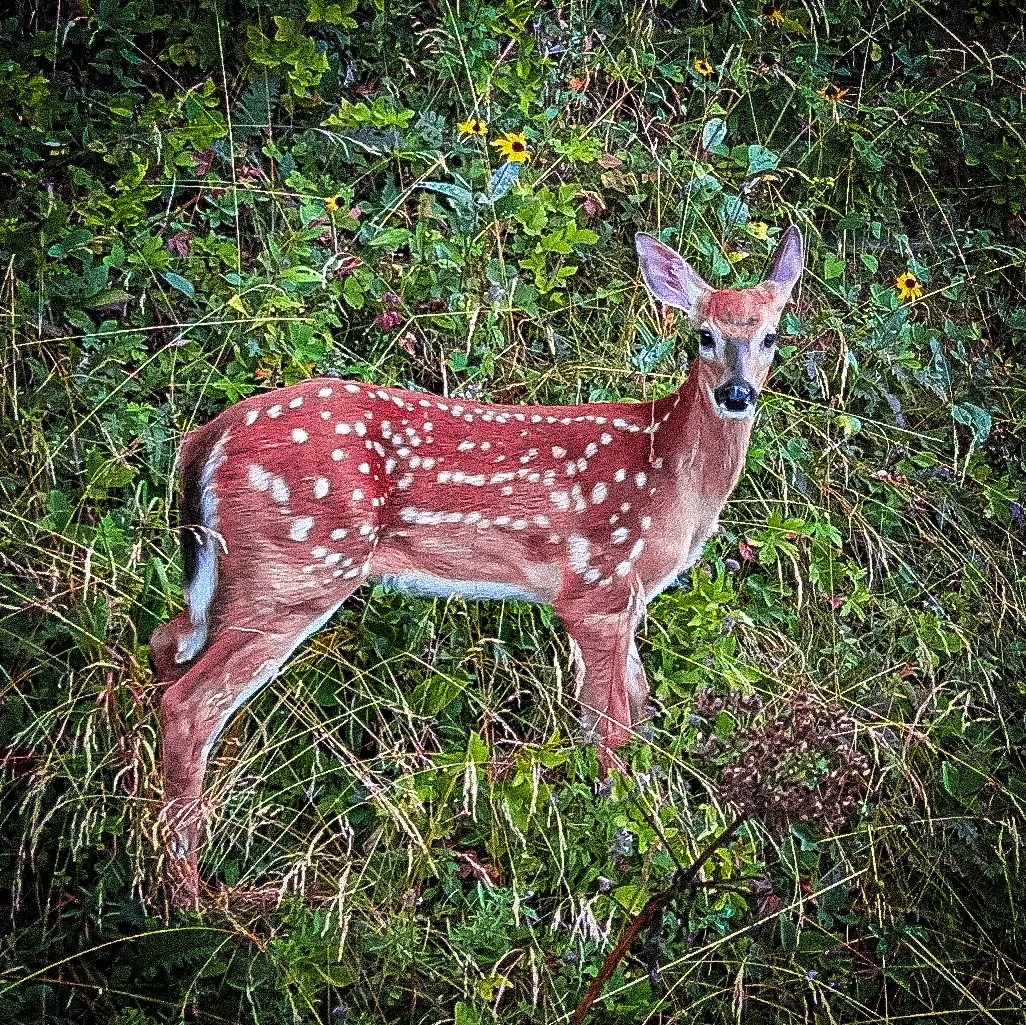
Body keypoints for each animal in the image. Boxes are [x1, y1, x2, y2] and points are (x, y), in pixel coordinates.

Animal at [149, 226, 805, 904]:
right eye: (704, 334)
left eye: (771, 335)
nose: (736, 394)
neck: (670, 476)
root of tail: (207, 439)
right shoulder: (596, 589)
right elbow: (611, 727)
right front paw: (623, 843)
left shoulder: (628, 600)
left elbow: (640, 707)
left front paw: (651, 822)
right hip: (295, 567)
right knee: (189, 706)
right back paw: (189, 898)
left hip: (238, 578)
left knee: (166, 646)